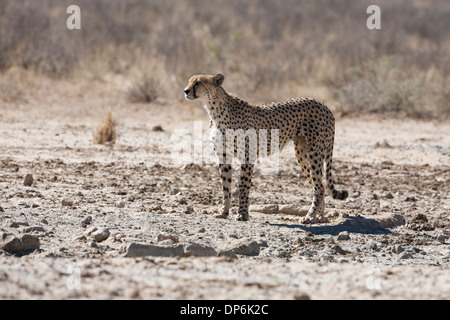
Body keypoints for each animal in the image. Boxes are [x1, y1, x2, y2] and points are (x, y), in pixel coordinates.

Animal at [183, 74, 348, 224]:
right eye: (189, 81)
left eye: (198, 83)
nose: (185, 91)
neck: (215, 109)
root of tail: (324, 106)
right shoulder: (223, 155)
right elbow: (226, 186)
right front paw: (224, 211)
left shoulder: (247, 156)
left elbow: (243, 186)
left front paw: (242, 214)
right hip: (303, 154)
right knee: (321, 185)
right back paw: (320, 217)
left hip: (314, 152)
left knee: (319, 186)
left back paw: (310, 216)